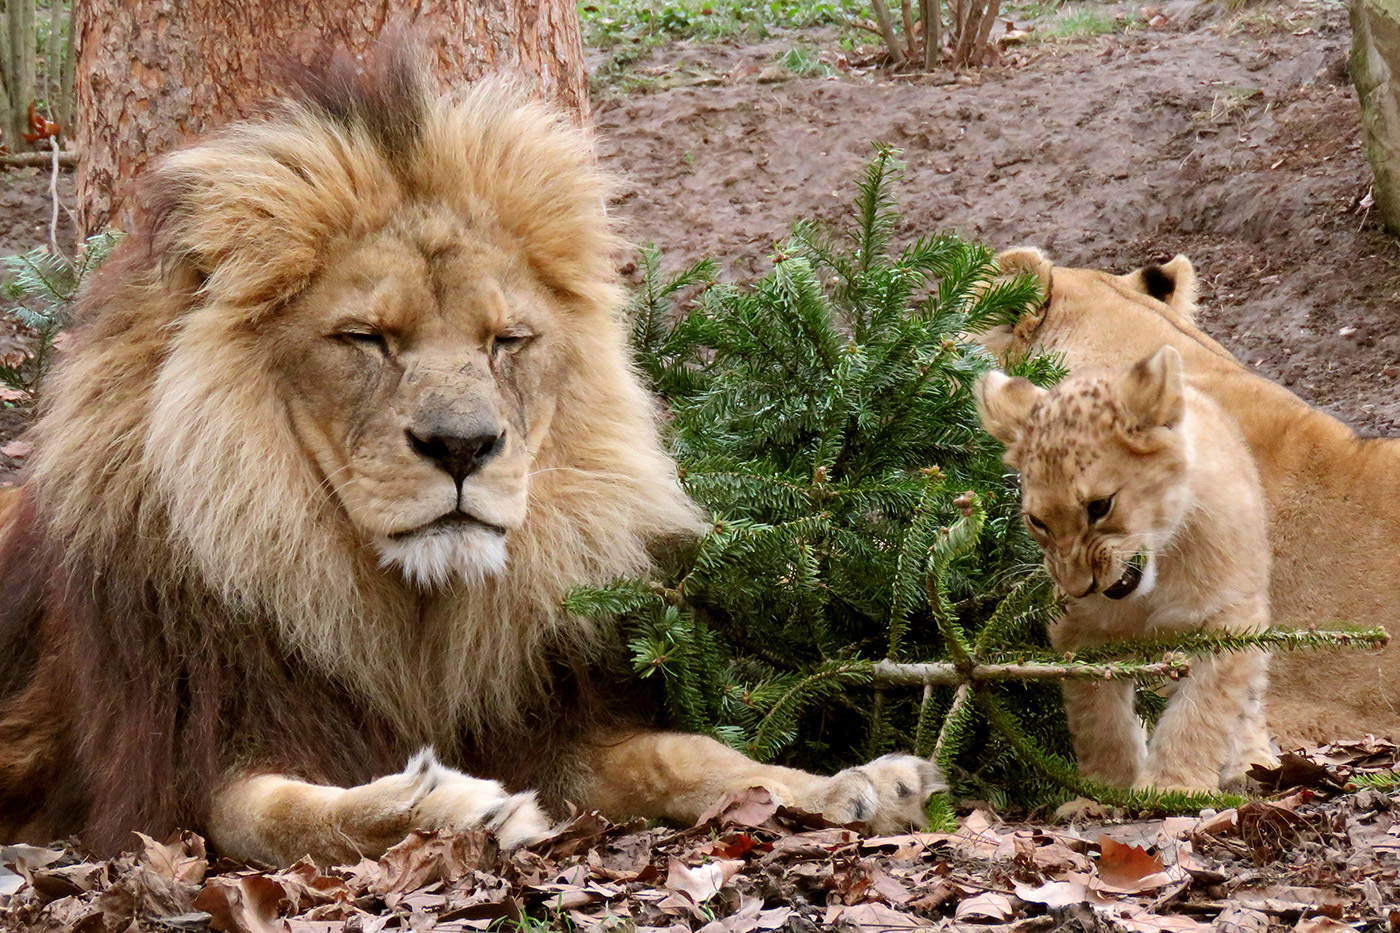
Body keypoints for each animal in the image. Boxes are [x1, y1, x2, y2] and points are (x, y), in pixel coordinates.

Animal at [0, 52, 946, 862]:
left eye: (507, 340)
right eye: (365, 338)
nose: (463, 446)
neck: (407, 619)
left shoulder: (544, 725)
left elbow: (689, 754)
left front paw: (852, 785)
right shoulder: (169, 782)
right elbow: (286, 815)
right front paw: (450, 805)